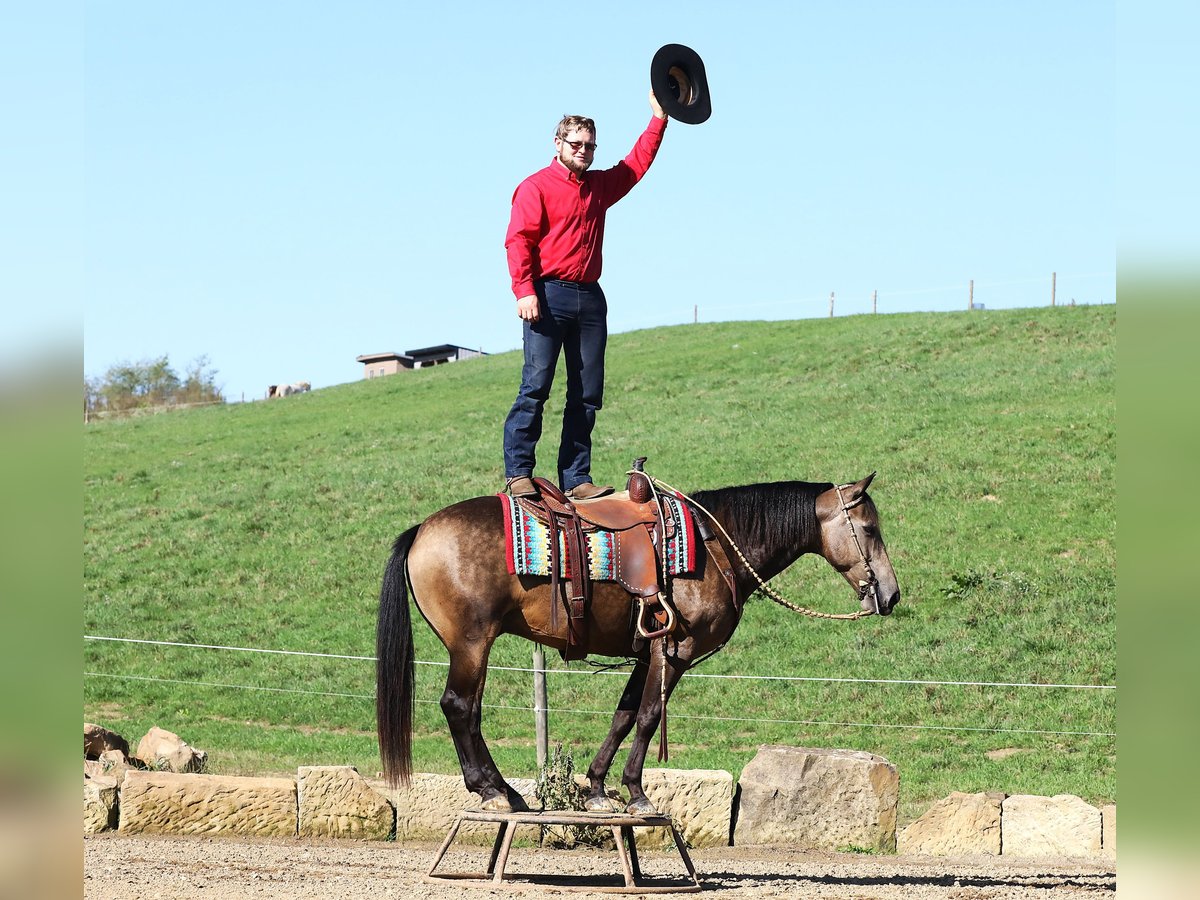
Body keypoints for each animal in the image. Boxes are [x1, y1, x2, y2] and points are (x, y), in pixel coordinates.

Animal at [376, 472, 902, 816]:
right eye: (870, 529)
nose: (891, 594)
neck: (714, 545)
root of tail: (421, 531)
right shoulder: (673, 651)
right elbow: (649, 716)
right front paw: (637, 793)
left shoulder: (644, 652)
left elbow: (624, 714)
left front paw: (596, 789)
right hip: (471, 643)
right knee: (459, 706)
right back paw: (492, 791)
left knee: (469, 711)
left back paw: (507, 790)